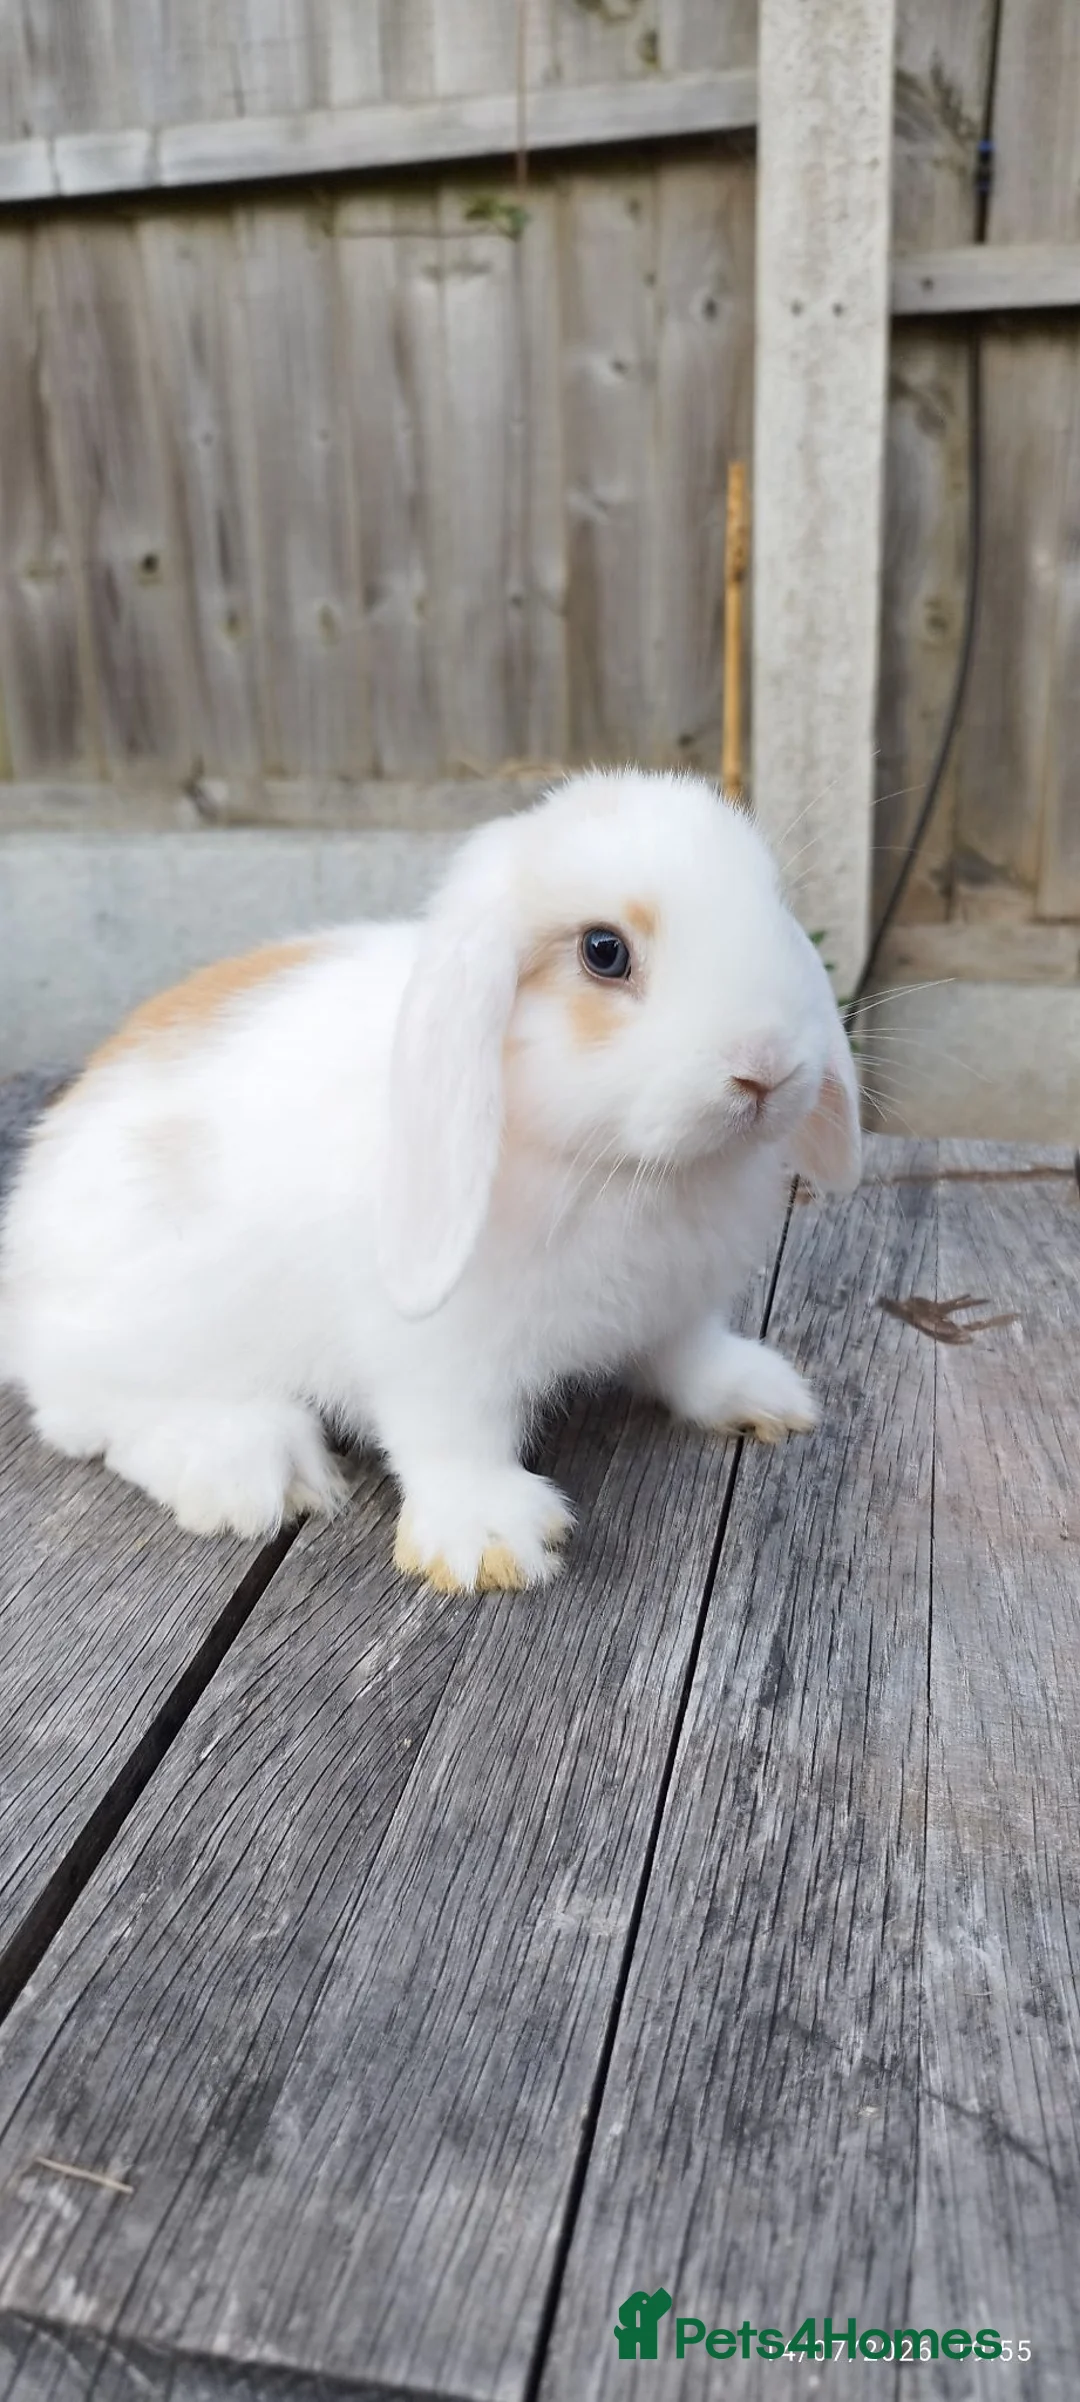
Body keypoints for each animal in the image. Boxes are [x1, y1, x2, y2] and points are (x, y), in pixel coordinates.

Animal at [0, 769, 861, 1593]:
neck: (617, 1169)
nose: (766, 1067)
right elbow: (453, 1436)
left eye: (773, 908)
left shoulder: (678, 1307)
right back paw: (250, 1467)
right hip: (140, 1331)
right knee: (85, 1412)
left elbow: (689, 1358)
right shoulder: (438, 1358)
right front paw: (490, 1544)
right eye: (604, 951)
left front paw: (761, 1397)